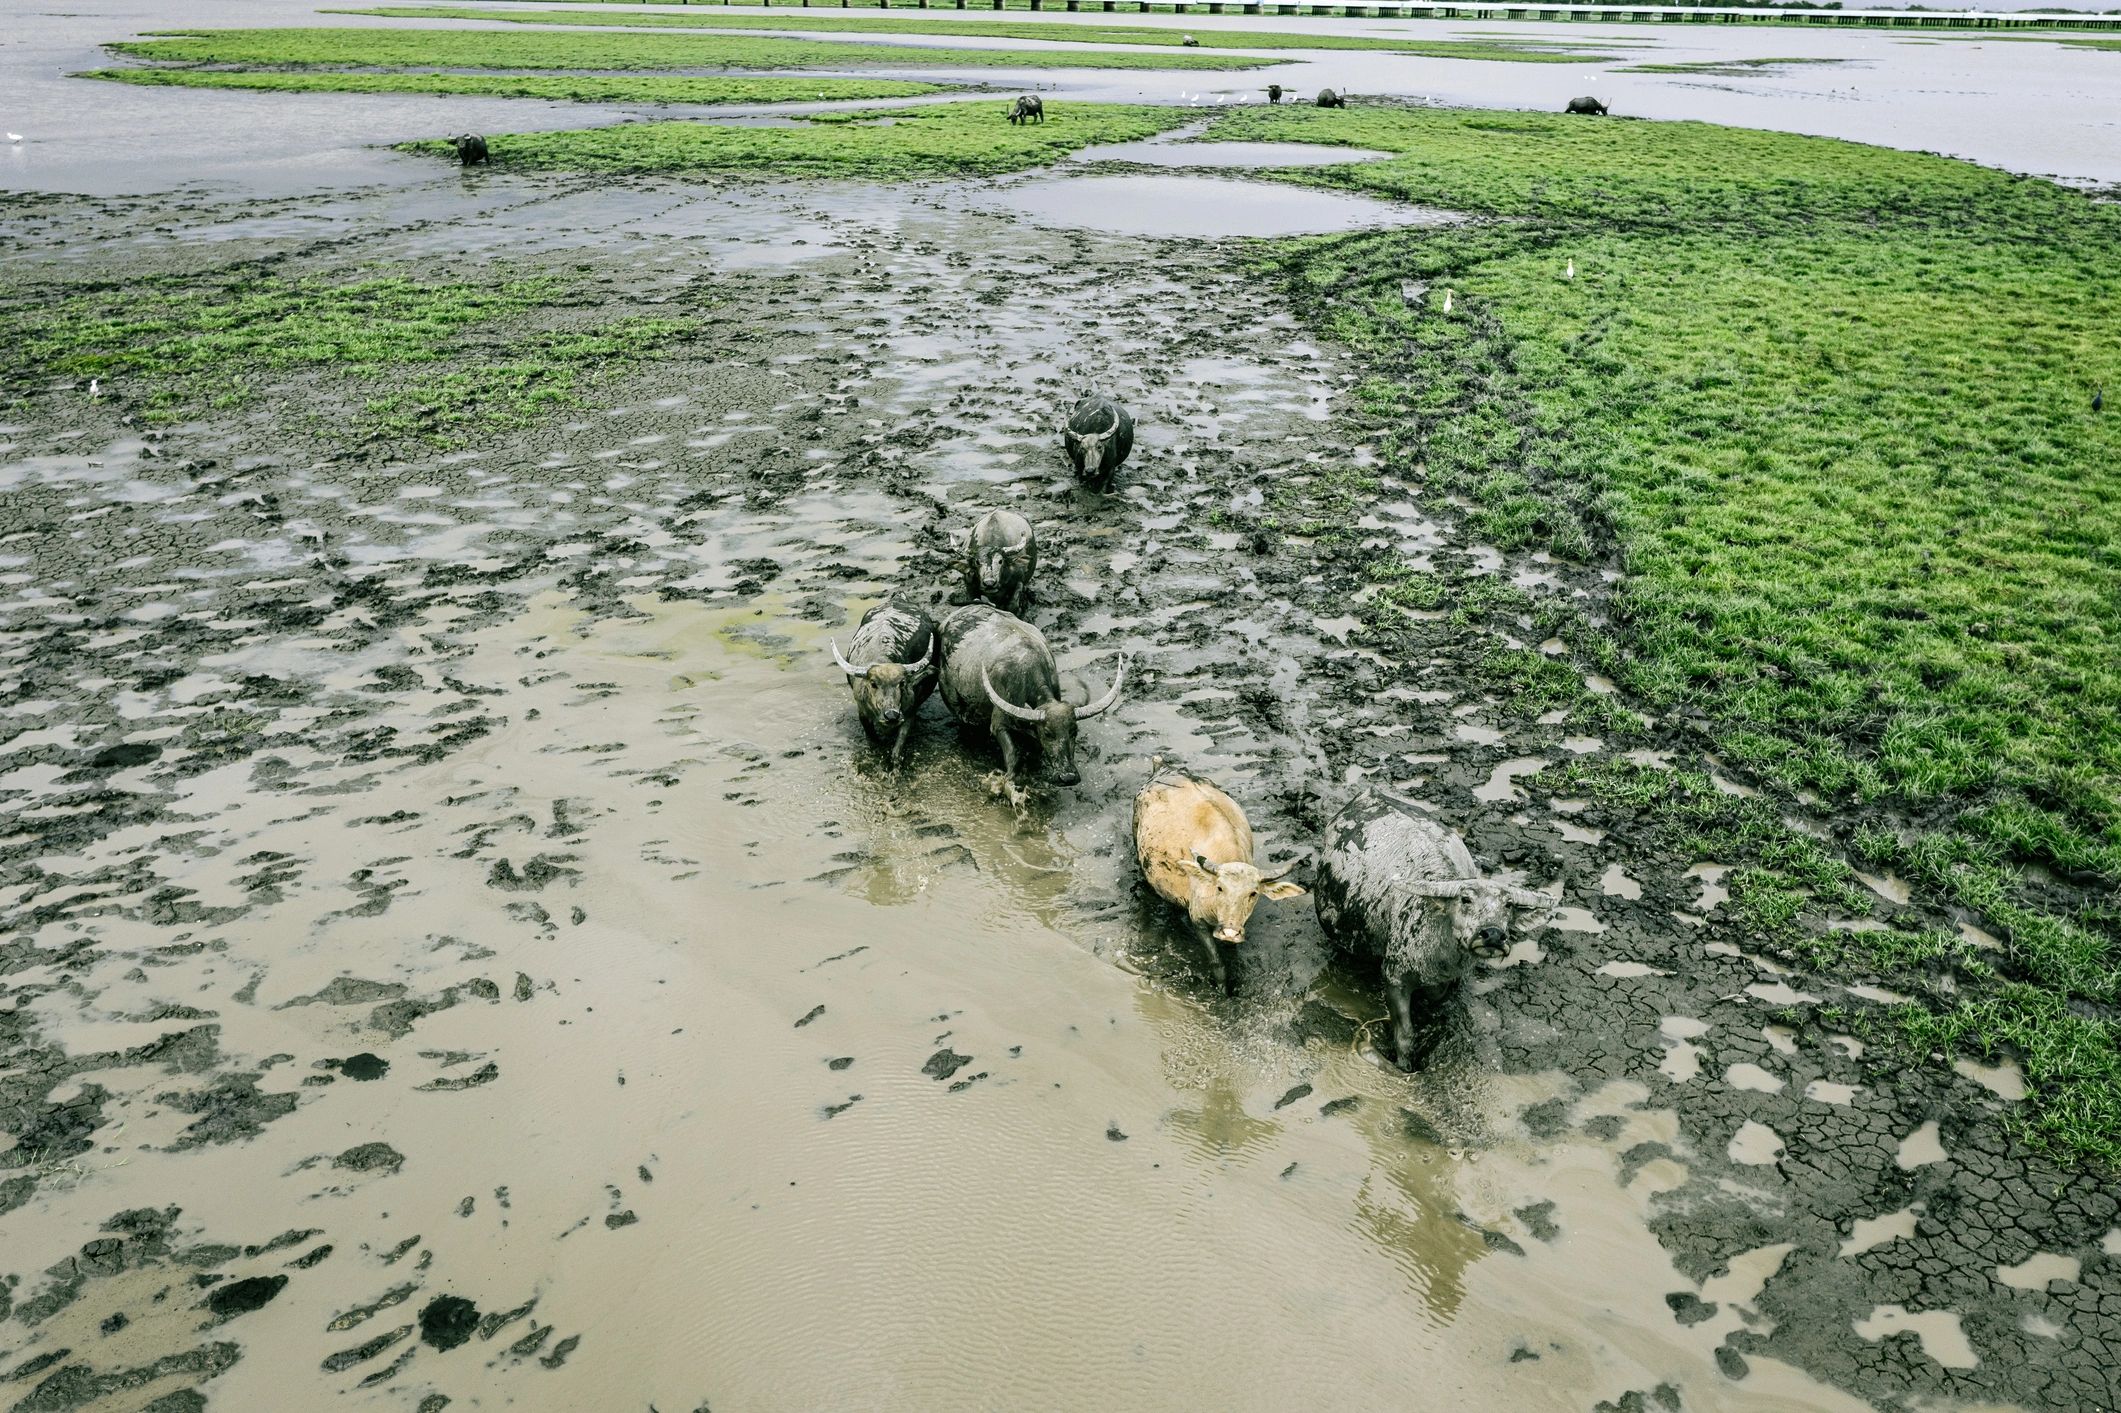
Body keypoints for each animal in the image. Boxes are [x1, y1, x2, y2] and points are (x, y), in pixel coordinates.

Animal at [831, 601, 939, 767]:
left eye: (901, 683)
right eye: (873, 683)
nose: (891, 715)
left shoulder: (909, 713)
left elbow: (898, 745)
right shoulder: (862, 713)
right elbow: (872, 739)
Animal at [937, 602, 1122, 799]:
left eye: (1074, 731)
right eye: (1048, 733)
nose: (1068, 777)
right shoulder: (999, 724)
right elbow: (1013, 754)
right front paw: (1006, 784)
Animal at [1134, 767, 1305, 994]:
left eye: (1253, 893)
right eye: (1220, 888)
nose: (1229, 932)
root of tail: (1163, 769)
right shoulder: (1197, 919)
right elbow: (1217, 962)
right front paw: (1222, 990)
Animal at [1313, 789, 1554, 1070]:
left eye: (1508, 905)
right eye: (1466, 899)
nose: (1493, 934)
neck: (1443, 956)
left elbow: (1436, 995)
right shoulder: (1394, 978)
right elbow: (1405, 1034)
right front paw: (1404, 1065)